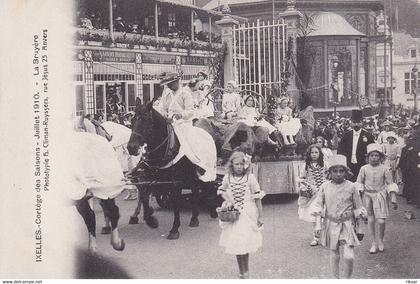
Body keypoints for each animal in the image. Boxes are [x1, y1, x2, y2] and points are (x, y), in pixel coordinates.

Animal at [126, 101, 218, 239]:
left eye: (146, 120)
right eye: (133, 120)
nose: (131, 147)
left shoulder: (175, 182)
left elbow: (176, 202)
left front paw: (174, 229)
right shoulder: (149, 177)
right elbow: (144, 196)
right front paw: (151, 220)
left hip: (206, 169)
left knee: (209, 186)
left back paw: (213, 212)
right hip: (191, 175)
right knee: (196, 190)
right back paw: (194, 218)